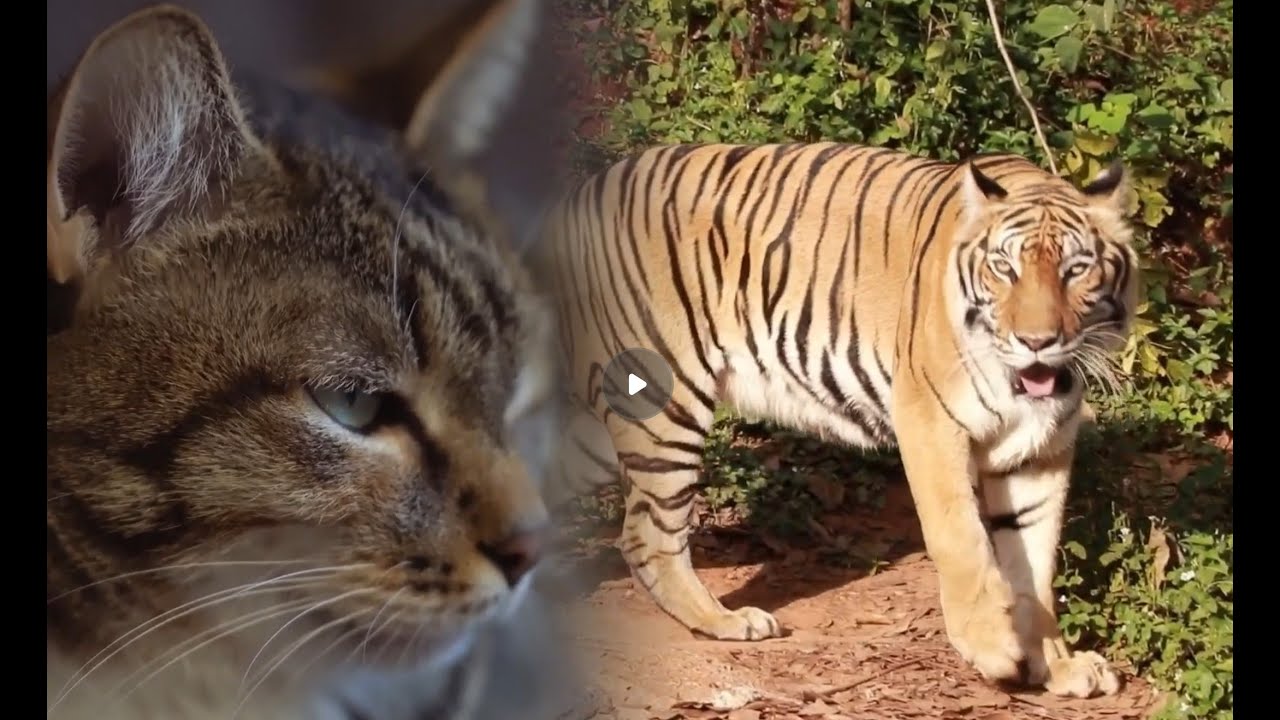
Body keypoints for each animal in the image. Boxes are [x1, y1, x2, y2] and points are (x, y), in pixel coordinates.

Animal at [535, 141, 1139, 700]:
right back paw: (726, 621)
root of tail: (569, 203)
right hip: (664, 394)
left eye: (1075, 271)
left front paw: (1055, 664)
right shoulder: (930, 421)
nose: (1036, 342)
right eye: (1004, 269)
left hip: (603, 423)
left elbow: (1033, 563)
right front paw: (993, 647)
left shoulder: (1040, 452)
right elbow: (962, 538)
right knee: (646, 534)